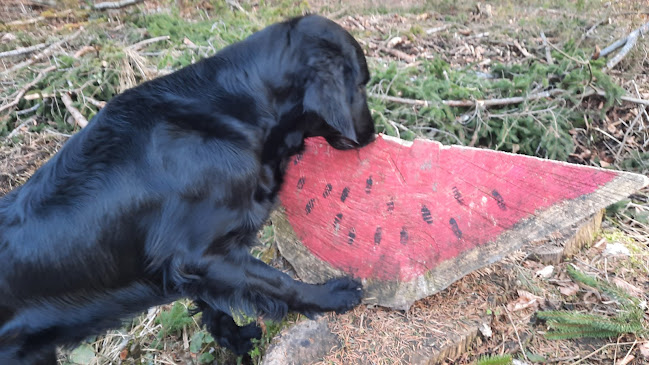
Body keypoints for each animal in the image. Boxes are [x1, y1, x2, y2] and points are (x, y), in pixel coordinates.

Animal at [0, 14, 374, 364]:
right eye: (360, 84)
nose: (370, 136)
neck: (238, 111)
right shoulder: (200, 254)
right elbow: (278, 282)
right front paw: (330, 296)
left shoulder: (192, 269)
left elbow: (214, 305)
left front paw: (236, 340)